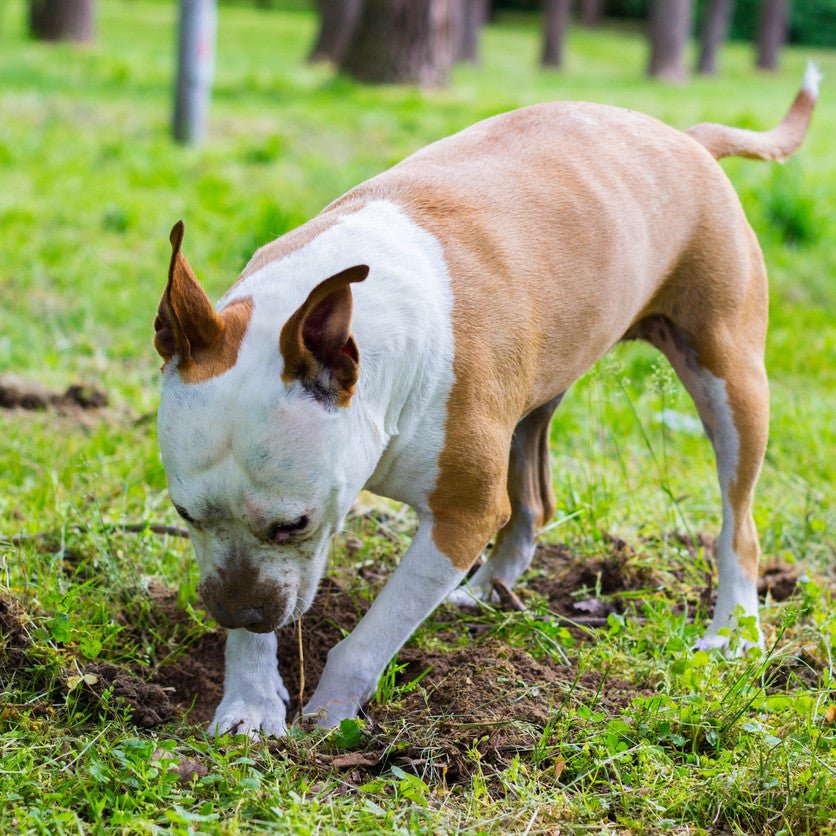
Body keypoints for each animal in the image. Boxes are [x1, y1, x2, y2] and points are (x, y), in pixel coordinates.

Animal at [155, 67, 816, 740]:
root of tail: (688, 139)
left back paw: (733, 632)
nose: (237, 613)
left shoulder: (461, 517)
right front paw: (250, 700)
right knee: (532, 502)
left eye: (295, 523)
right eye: (184, 514)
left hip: (732, 380)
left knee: (738, 522)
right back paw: (486, 589)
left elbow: (370, 639)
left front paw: (330, 713)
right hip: (534, 398)